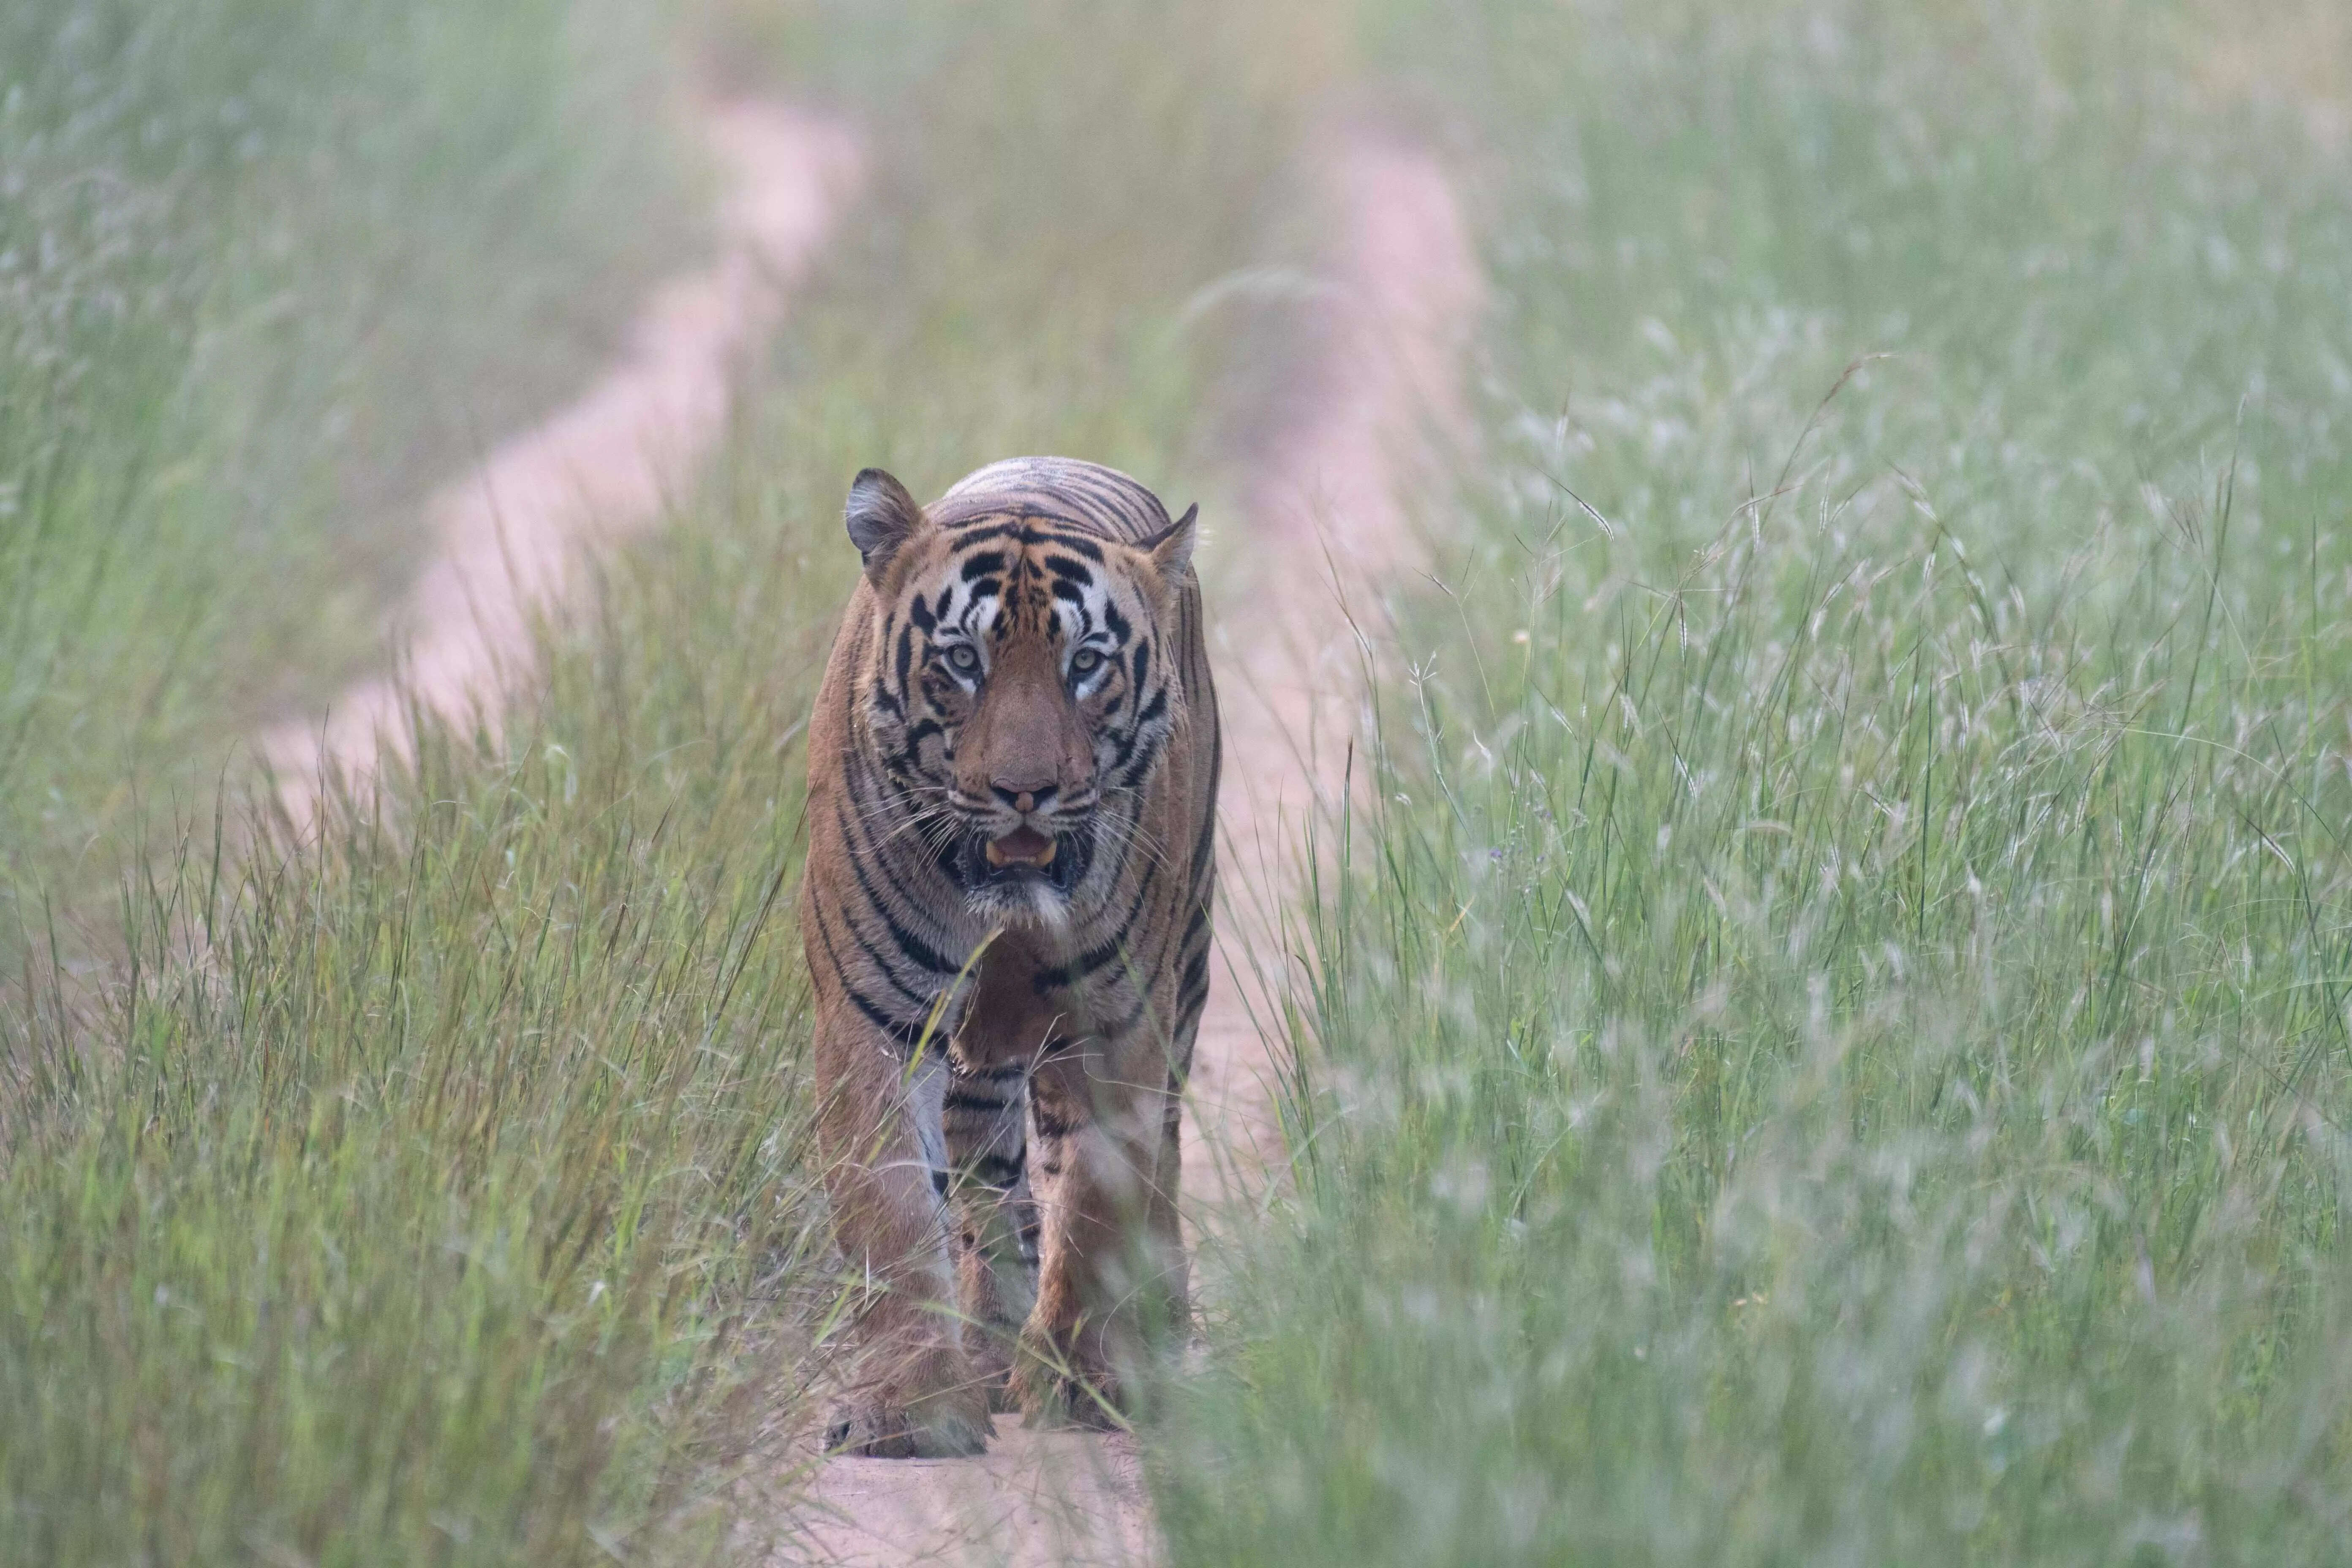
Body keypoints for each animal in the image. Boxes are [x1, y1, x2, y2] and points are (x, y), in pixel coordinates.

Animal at [800, 456, 1219, 1458]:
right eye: (963, 660)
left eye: (1085, 664)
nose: (1025, 792)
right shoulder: (873, 1020)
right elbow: (891, 1208)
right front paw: (910, 1409)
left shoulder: (1115, 1027)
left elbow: (1098, 1205)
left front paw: (1079, 1382)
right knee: (986, 1180)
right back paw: (989, 1347)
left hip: (1181, 969)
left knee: (1150, 1158)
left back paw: (1144, 1327)